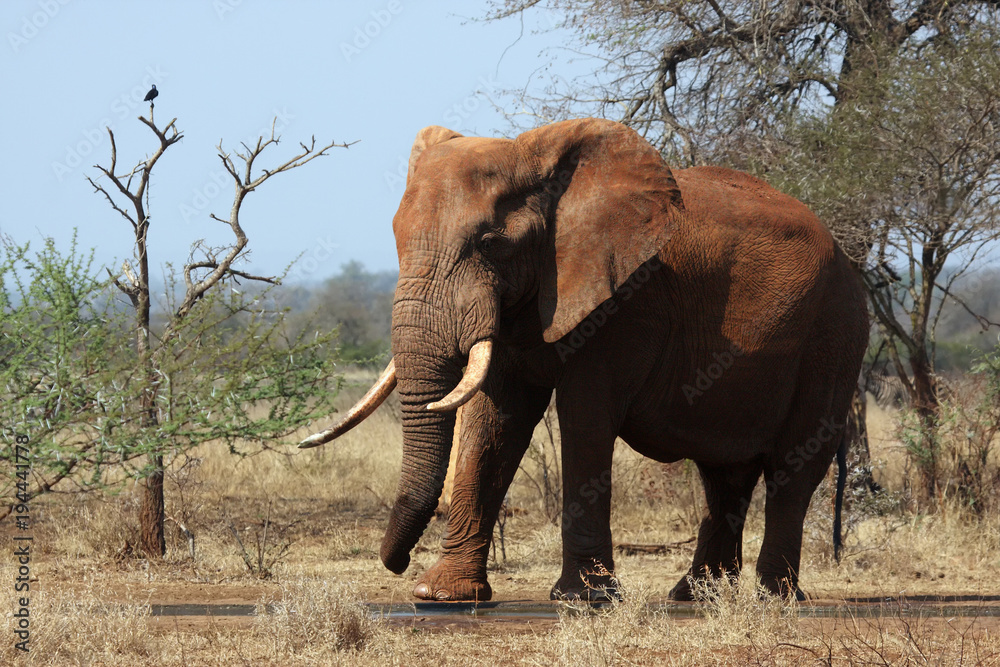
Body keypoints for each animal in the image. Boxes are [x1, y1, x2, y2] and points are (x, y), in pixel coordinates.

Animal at [301, 117, 869, 602]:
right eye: (396, 238)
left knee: (793, 466)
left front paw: (584, 599)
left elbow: (585, 418)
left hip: (835, 335)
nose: (395, 564)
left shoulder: (625, 302)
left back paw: (775, 598)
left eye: (489, 243)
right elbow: (494, 422)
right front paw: (442, 595)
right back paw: (694, 595)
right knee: (724, 472)